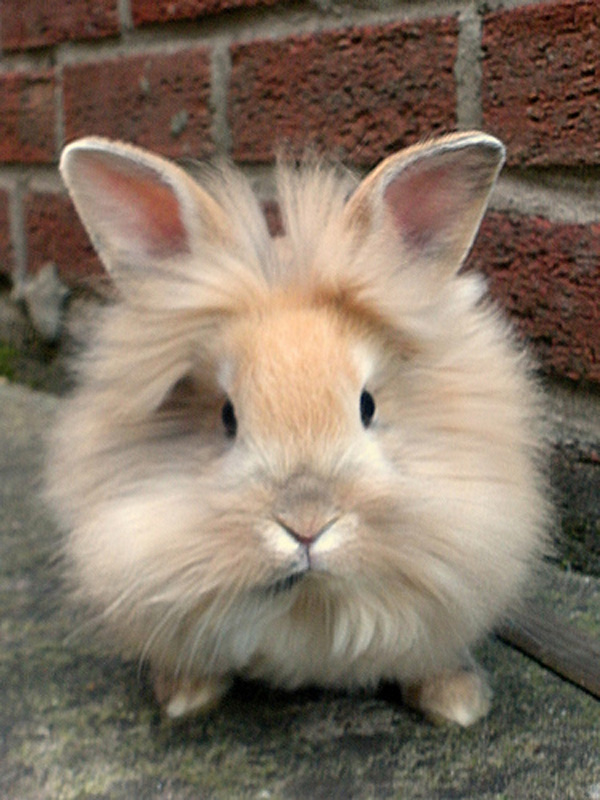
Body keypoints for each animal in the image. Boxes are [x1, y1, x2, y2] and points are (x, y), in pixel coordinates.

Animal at [46, 131, 549, 727]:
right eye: (227, 416)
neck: (312, 603)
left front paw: (458, 704)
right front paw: (186, 698)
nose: (307, 525)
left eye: (367, 405)